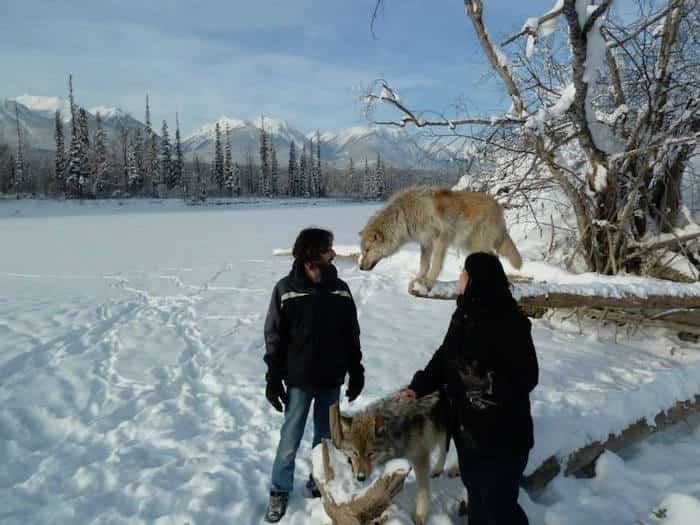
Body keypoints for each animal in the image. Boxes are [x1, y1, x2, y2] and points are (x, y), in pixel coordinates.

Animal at [332, 390, 448, 524]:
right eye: (355, 453)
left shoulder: (420, 457)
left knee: (445, 448)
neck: (398, 432)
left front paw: (420, 516)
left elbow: (423, 491)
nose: (360, 478)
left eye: (370, 454)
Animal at [360, 185, 520, 290]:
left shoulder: (440, 240)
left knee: (495, 256)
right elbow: (424, 264)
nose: (360, 267)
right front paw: (419, 279)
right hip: (471, 246)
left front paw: (429, 282)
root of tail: (498, 206)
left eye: (367, 250)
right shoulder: (425, 243)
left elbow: (436, 264)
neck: (404, 215)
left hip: (476, 245)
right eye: (363, 251)